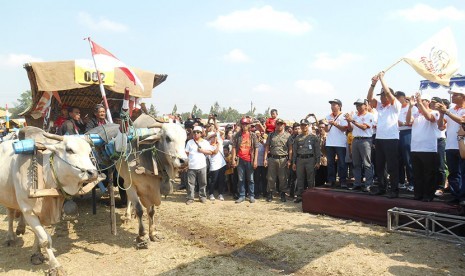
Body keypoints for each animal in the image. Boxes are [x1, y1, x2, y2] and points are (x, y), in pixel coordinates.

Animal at [0, 132, 98, 276]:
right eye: (69, 150)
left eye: (89, 151)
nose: (93, 173)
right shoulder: (29, 210)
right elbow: (45, 240)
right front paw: (55, 266)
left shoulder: (41, 212)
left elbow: (39, 235)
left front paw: (36, 254)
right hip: (8, 197)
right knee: (11, 214)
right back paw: (10, 237)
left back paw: (21, 228)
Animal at [116, 114, 188, 248]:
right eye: (168, 138)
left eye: (185, 139)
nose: (184, 161)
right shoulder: (131, 185)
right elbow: (140, 210)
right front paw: (142, 235)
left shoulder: (152, 189)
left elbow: (151, 211)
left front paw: (153, 233)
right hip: (125, 181)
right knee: (129, 199)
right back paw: (128, 215)